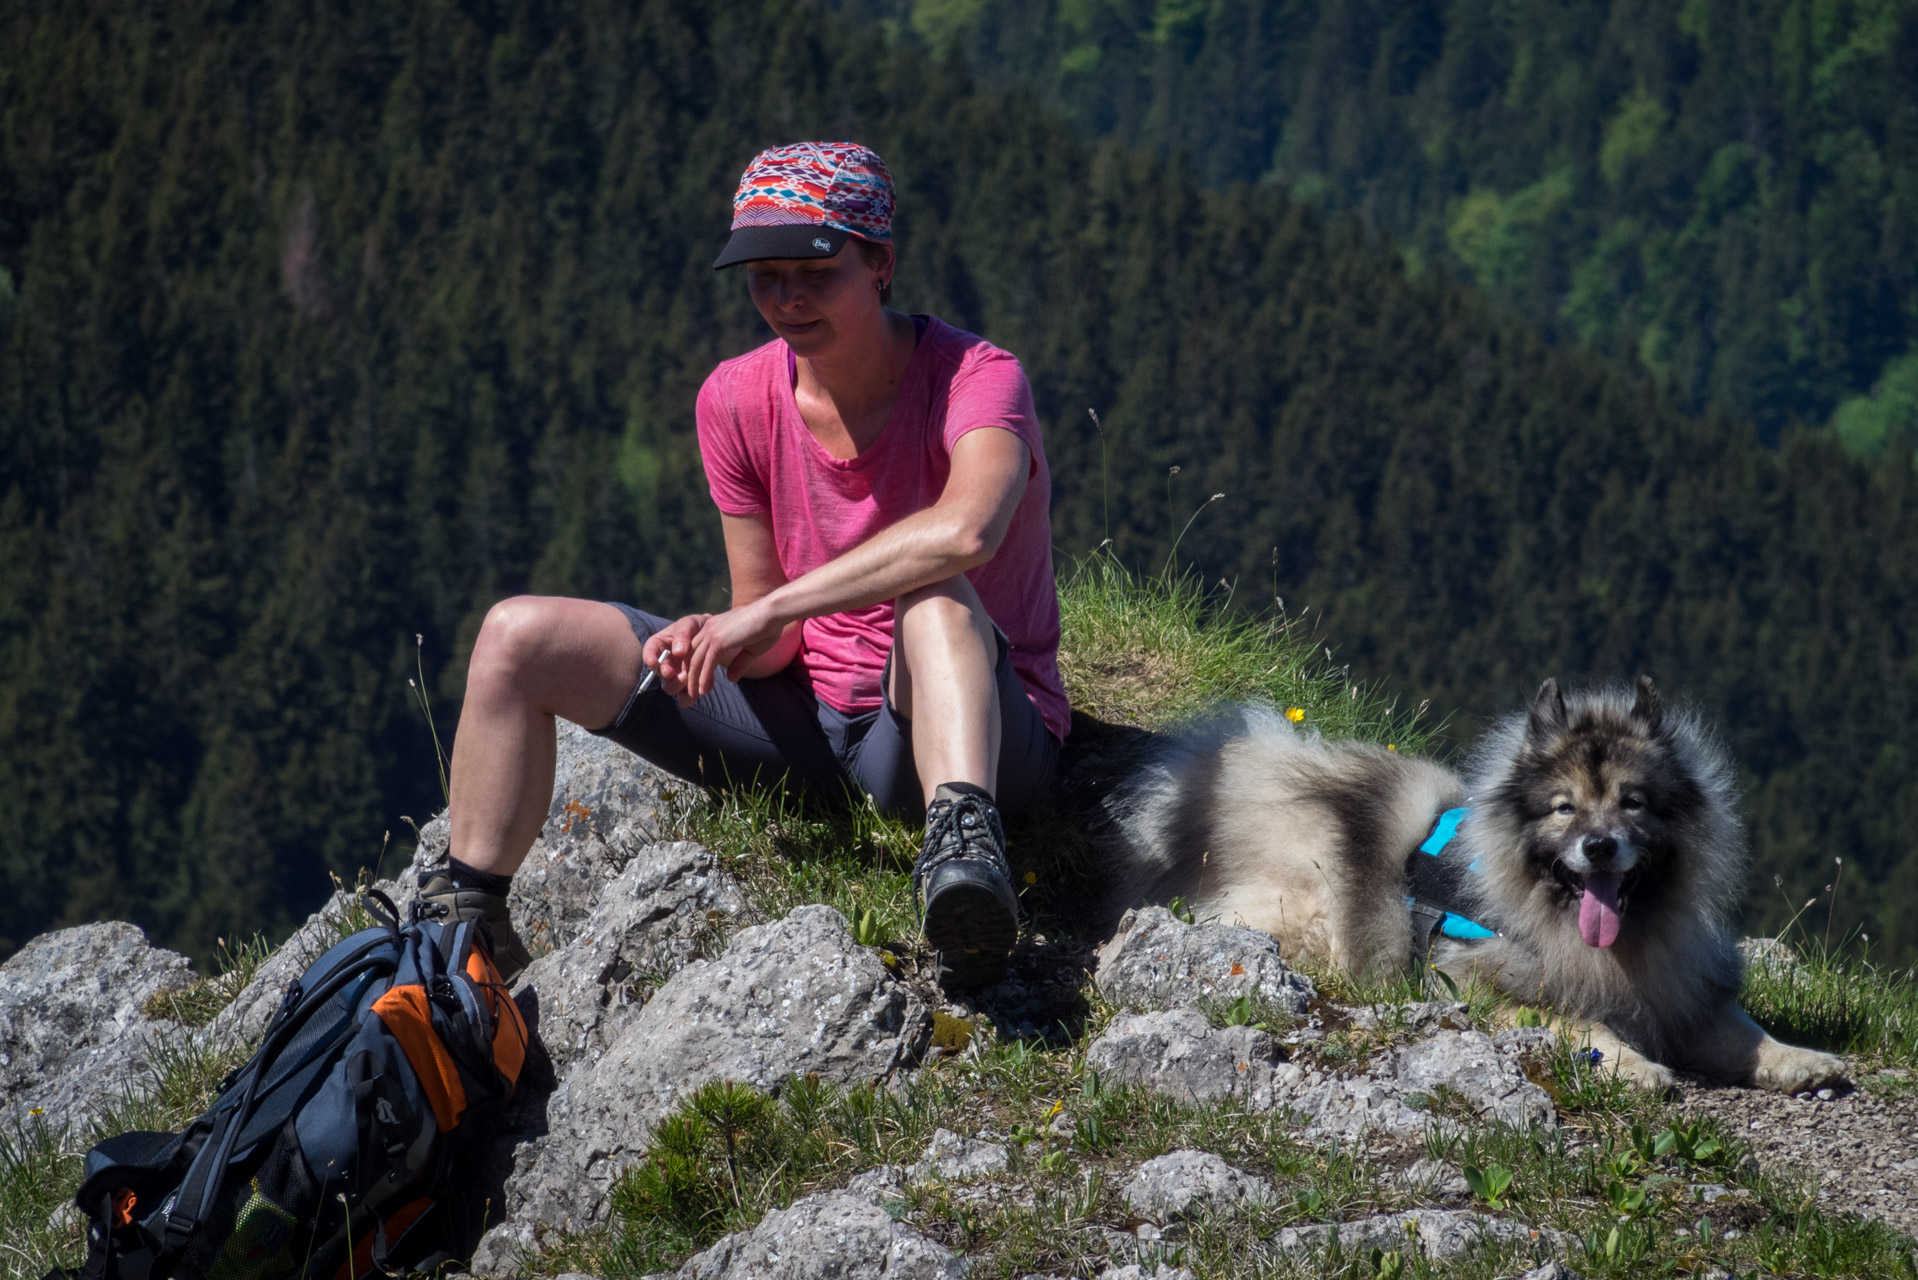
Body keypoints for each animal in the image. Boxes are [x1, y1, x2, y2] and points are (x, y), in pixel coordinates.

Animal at [1112, 679, 1841, 1090]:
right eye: (1564, 808)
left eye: (1633, 803)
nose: (1599, 846)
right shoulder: (1485, 989)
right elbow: (1583, 1026)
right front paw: (1636, 1067)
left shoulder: (1681, 985)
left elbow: (1743, 1032)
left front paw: (1802, 1061)